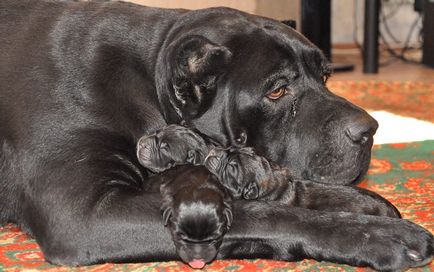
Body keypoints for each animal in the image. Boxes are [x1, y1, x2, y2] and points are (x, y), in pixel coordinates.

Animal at [0, 1, 432, 270]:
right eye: (277, 91)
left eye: (325, 76)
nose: (370, 130)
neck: (145, 78)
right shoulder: (84, 213)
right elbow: (261, 213)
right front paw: (376, 235)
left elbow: (290, 187)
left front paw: (363, 202)